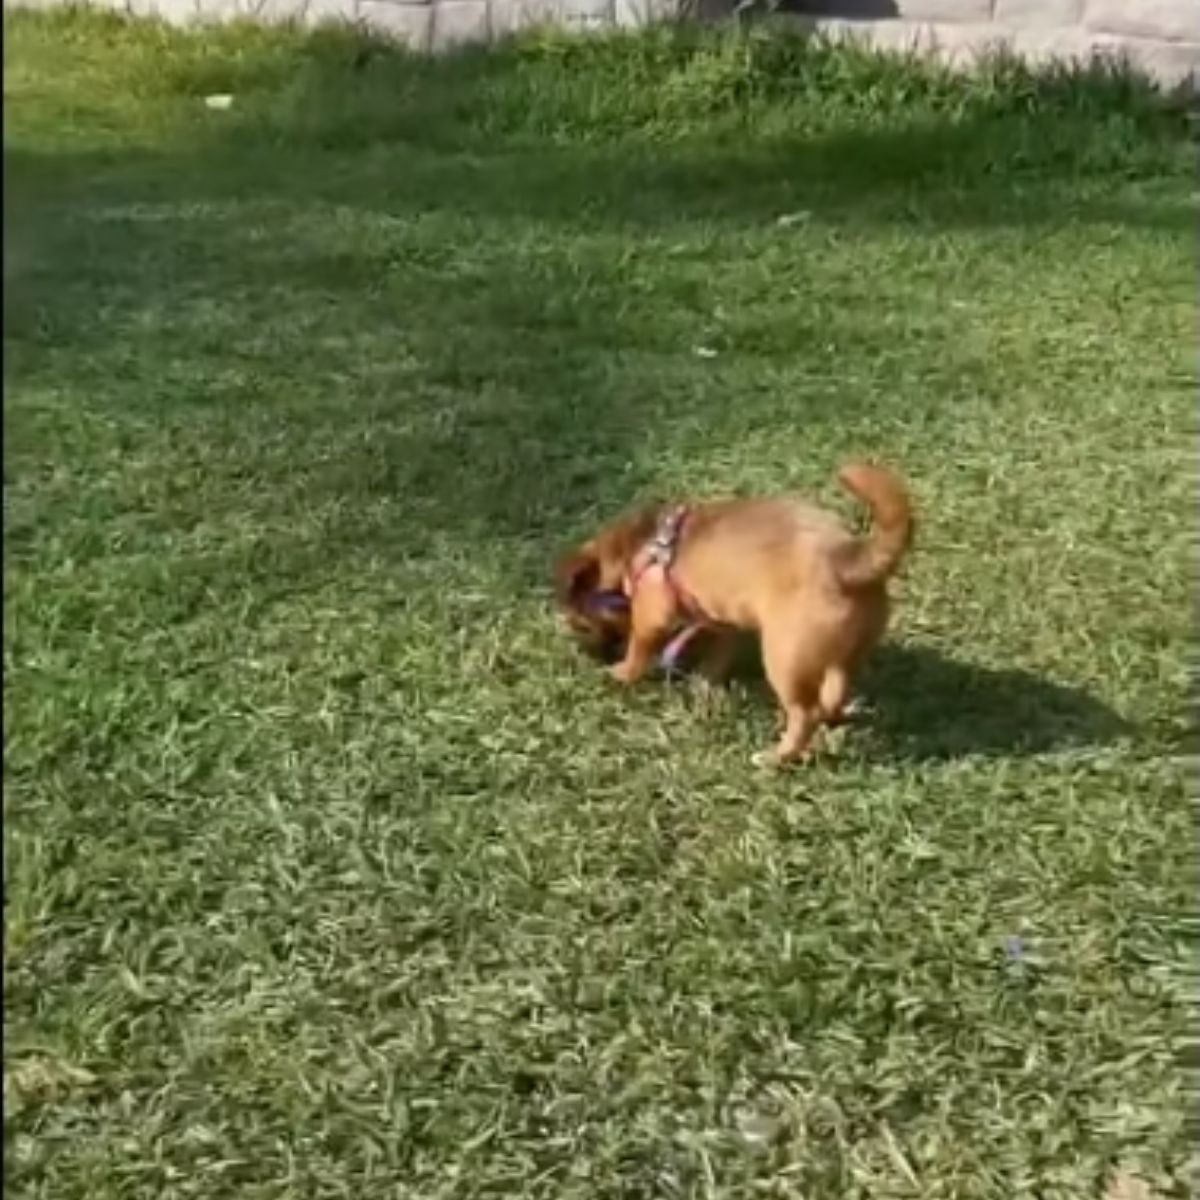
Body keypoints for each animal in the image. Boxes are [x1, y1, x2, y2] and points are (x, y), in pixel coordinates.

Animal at [556, 463, 912, 763]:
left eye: (582, 625)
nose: (585, 654)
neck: (635, 549)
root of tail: (848, 559)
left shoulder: (651, 617)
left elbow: (638, 650)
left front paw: (622, 673)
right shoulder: (723, 620)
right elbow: (719, 654)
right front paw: (704, 681)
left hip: (784, 658)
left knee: (804, 714)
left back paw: (777, 757)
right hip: (846, 654)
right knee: (835, 691)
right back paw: (829, 718)